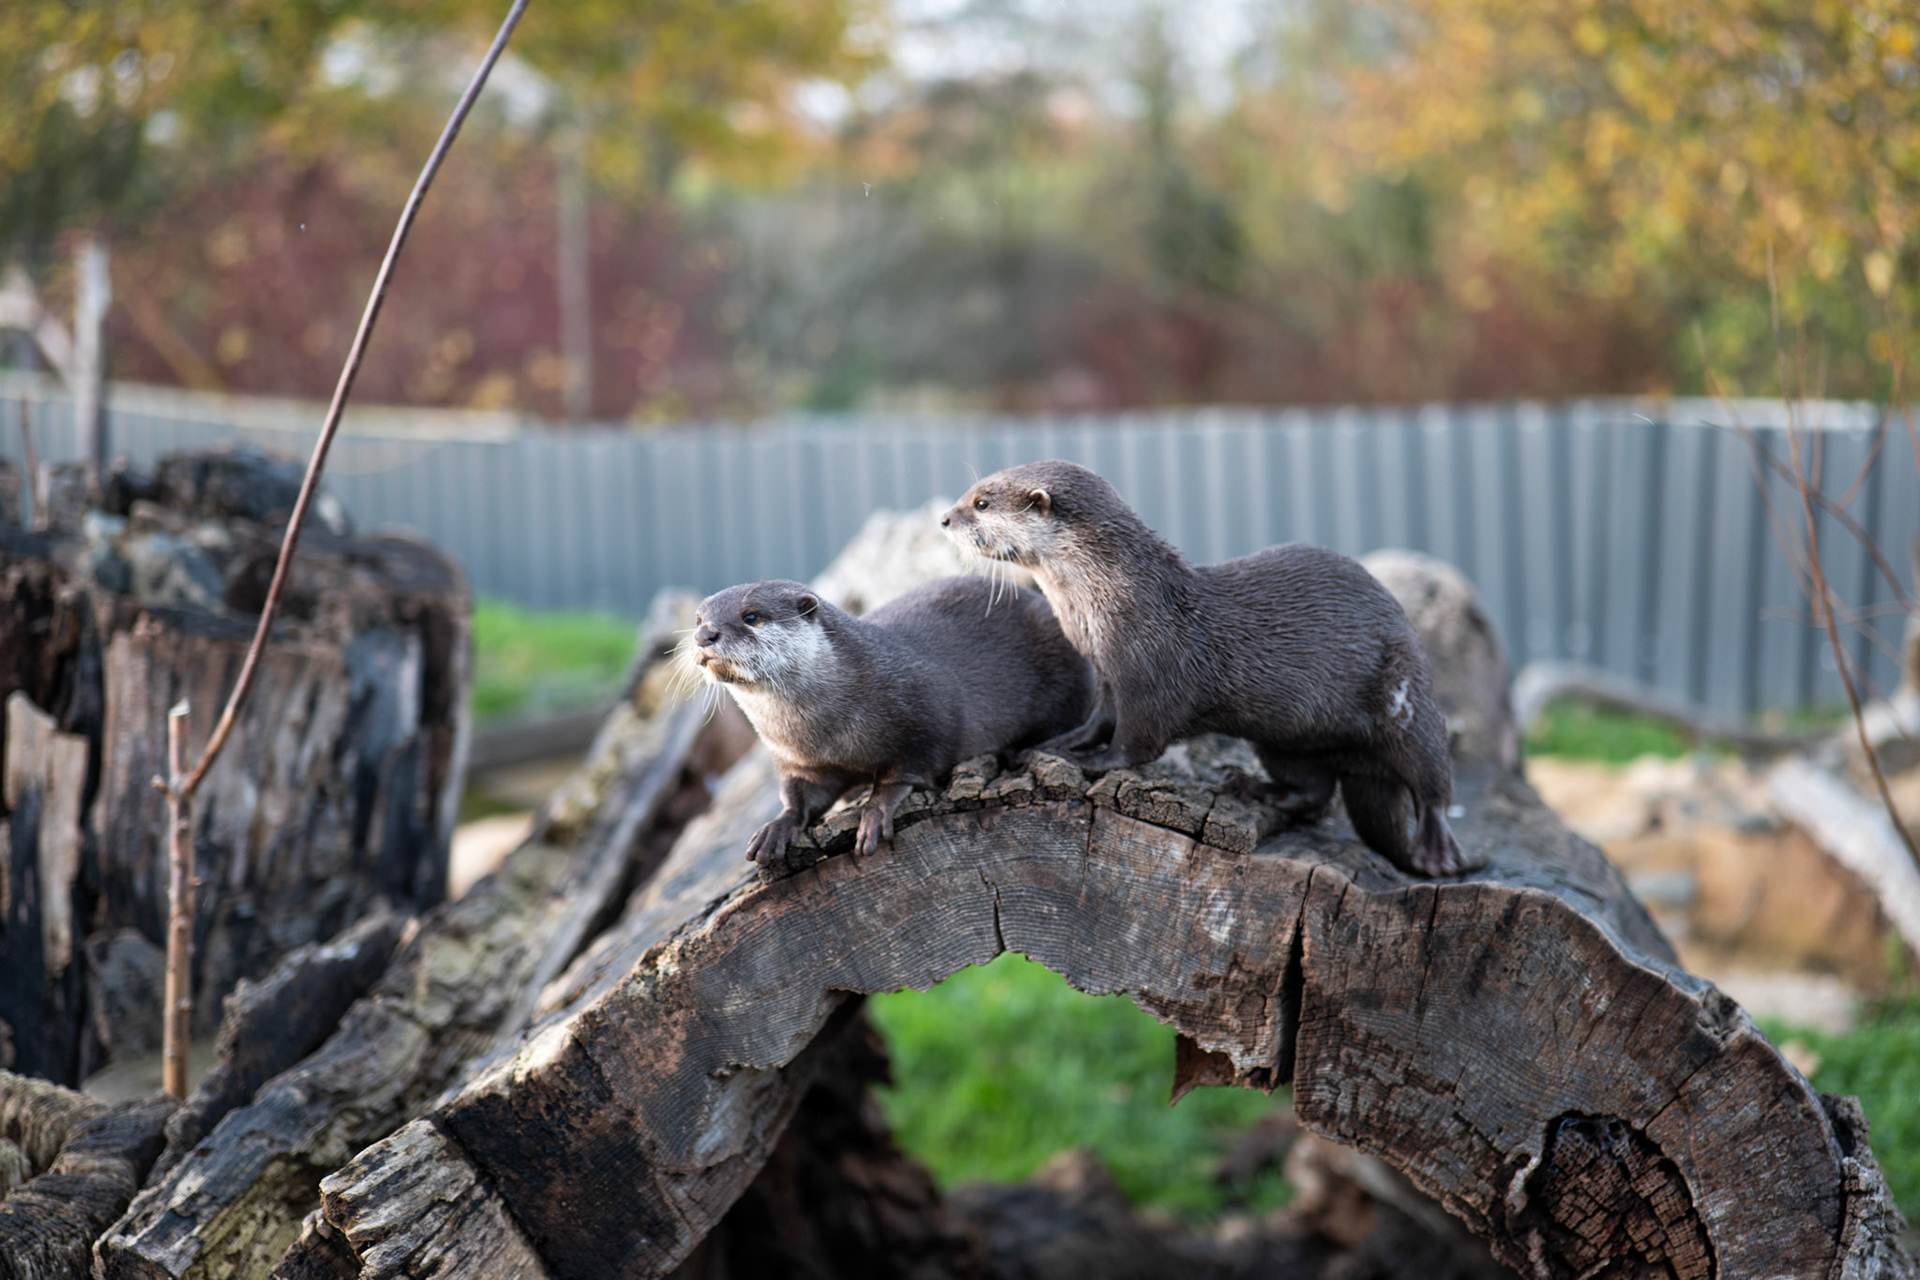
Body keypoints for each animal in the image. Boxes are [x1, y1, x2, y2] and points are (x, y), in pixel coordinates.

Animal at [691, 575, 1093, 869]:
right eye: (698, 618)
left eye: (751, 616)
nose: (704, 635)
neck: (826, 733)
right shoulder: (797, 760)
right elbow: (798, 796)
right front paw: (777, 827)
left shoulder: (928, 713)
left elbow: (908, 767)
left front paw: (876, 810)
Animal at [941, 460, 1478, 877]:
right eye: (970, 494)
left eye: (981, 503)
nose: (945, 519)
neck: (1114, 603)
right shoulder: (1109, 674)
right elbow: (1097, 721)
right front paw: (1054, 746)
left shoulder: (1153, 676)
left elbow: (1136, 741)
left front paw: (1095, 762)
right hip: (1285, 740)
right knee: (1315, 789)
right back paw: (1254, 789)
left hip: (1405, 692)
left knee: (1431, 776)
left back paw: (1435, 850)